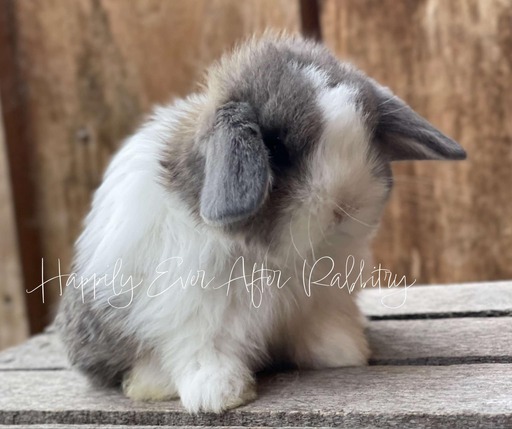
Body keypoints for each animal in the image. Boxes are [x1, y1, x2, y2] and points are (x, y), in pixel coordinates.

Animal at [57, 31, 468, 412]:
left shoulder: (320, 301)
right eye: (276, 149)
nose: (344, 205)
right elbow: (204, 353)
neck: (280, 259)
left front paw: (345, 353)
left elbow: (323, 329)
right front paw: (220, 396)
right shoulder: (194, 315)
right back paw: (152, 385)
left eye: (366, 138)